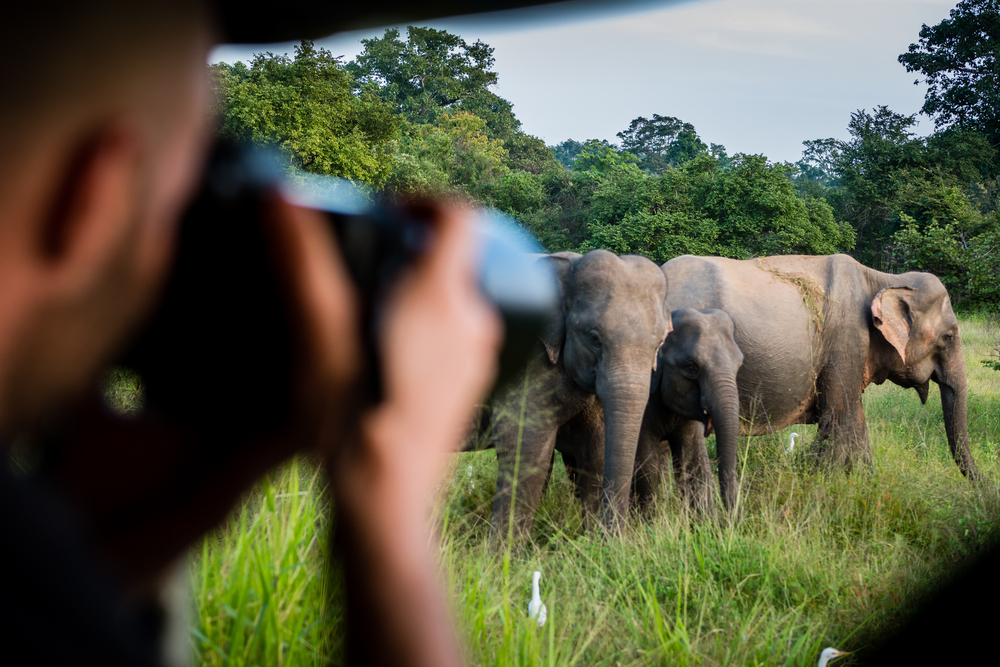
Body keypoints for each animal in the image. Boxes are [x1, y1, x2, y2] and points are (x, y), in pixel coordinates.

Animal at [486, 248, 672, 540]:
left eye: (660, 343)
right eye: (594, 338)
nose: (614, 538)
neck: (570, 264)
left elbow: (594, 453)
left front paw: (592, 542)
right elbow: (525, 450)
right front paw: (502, 553)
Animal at [660, 252, 980, 480]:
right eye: (950, 337)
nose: (981, 485)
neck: (882, 278)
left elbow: (855, 419)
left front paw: (866, 481)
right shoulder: (845, 342)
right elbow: (840, 418)